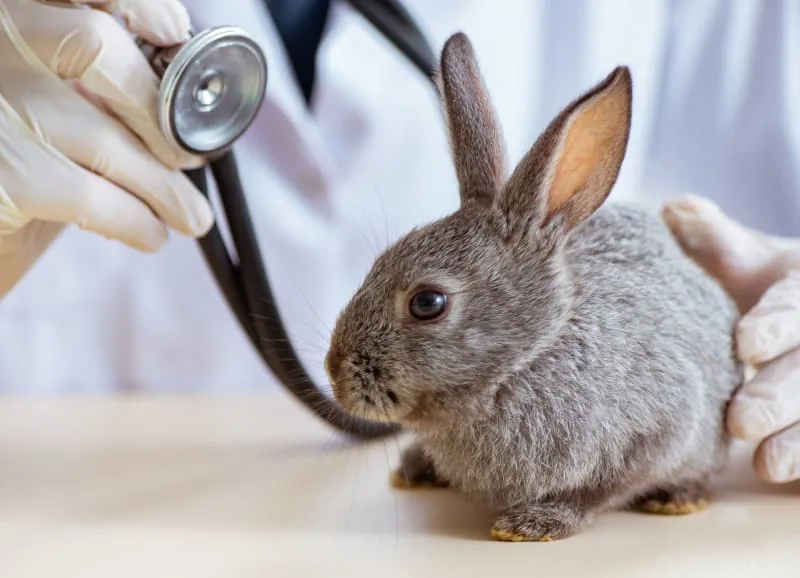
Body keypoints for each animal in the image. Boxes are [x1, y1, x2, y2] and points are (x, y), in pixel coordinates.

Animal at [324, 31, 744, 543]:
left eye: (428, 302)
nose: (335, 374)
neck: (528, 357)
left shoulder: (664, 426)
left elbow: (605, 488)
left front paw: (536, 522)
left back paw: (680, 498)